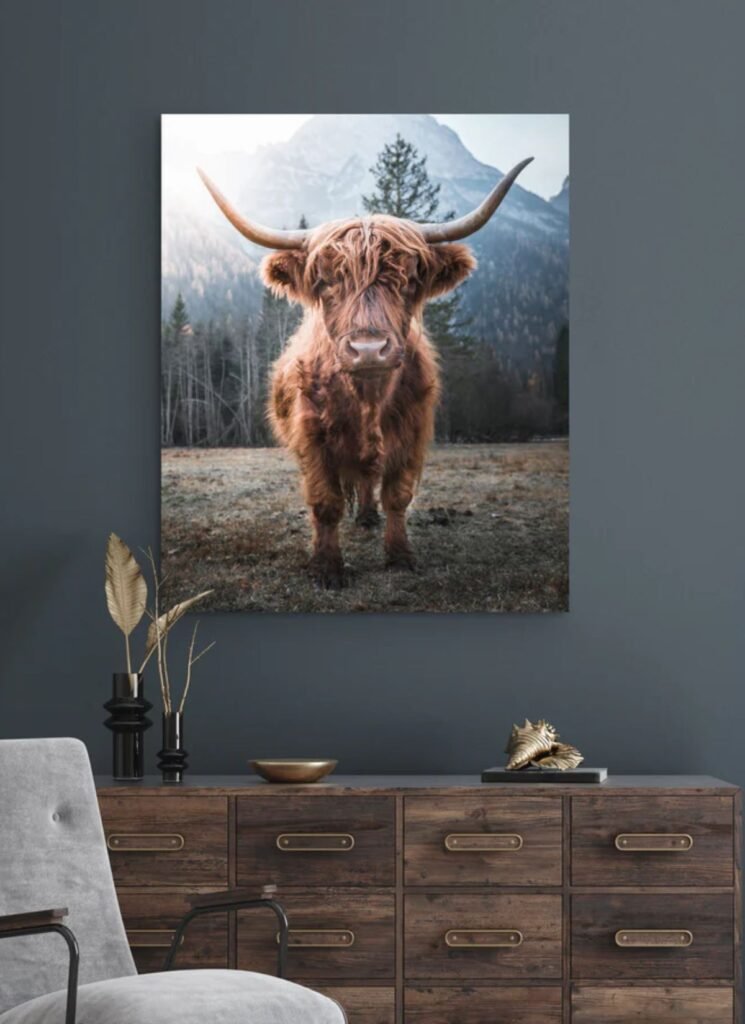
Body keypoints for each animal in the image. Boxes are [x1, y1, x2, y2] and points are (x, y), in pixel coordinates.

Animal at [198, 157, 532, 588]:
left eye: (409, 279)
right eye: (325, 281)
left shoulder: (412, 433)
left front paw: (400, 555)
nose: (369, 349)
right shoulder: (312, 437)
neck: (367, 400)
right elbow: (325, 502)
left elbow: (397, 496)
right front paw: (327, 567)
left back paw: (369, 516)